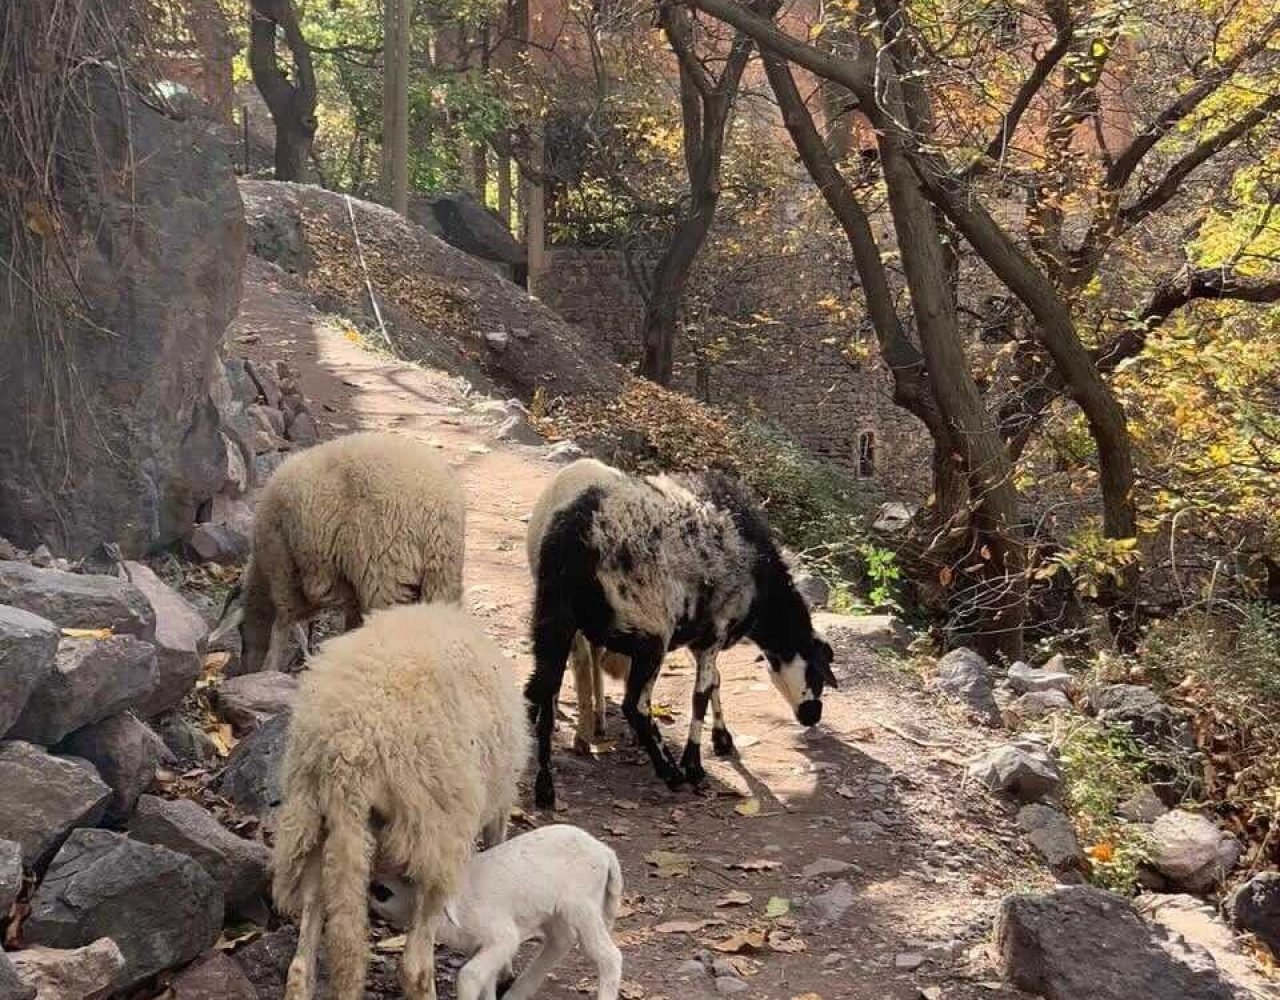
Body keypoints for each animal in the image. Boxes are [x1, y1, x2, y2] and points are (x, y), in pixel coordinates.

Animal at [211, 431, 465, 673]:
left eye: (241, 631)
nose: (245, 669)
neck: (260, 574)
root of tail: (431, 510)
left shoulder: (285, 568)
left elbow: (283, 622)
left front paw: (270, 667)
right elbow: (350, 617)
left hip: (385, 574)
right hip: (442, 576)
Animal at [271, 601, 529, 1000]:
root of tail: (348, 752)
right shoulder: (499, 802)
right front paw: (504, 971)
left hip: (314, 825)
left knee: (301, 967)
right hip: (434, 839)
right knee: (415, 967)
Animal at [369, 824, 624, 1000]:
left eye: (383, 892)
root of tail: (604, 850)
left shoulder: (502, 937)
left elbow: (469, 976)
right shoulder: (485, 947)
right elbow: (486, 984)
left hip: (582, 905)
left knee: (609, 956)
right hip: (553, 909)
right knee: (561, 940)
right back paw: (517, 993)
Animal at [527, 466, 837, 808]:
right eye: (818, 674)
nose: (813, 716)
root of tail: (573, 535)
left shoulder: (700, 639)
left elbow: (714, 682)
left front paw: (722, 740)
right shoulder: (715, 631)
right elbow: (700, 695)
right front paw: (694, 765)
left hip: (554, 621)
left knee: (544, 692)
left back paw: (545, 788)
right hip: (649, 632)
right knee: (635, 706)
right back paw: (669, 772)